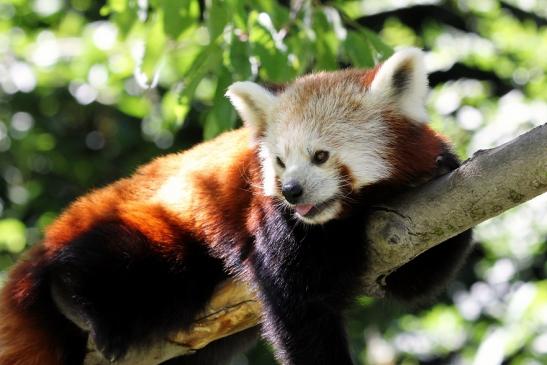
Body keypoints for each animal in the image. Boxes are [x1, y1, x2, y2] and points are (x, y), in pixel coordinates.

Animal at [0, 49, 470, 364]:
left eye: (320, 156)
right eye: (279, 161)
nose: (291, 191)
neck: (346, 218)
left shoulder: (400, 226)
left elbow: (416, 280)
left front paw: (445, 171)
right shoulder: (273, 222)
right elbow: (298, 305)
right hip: (155, 236)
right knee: (127, 262)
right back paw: (77, 302)